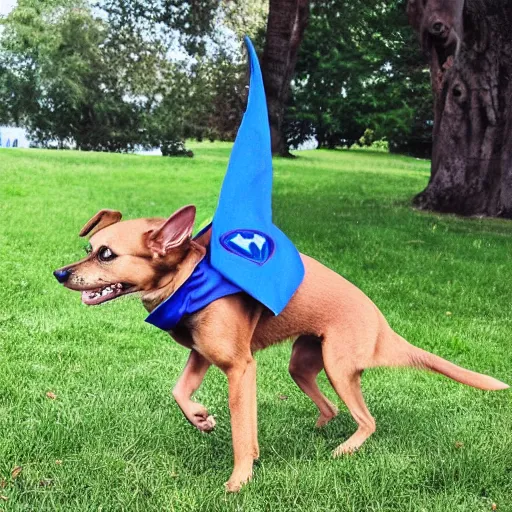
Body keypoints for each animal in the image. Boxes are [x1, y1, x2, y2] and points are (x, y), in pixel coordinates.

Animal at [54, 204, 510, 492]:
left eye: (106, 254)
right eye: (88, 249)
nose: (60, 273)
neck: (190, 279)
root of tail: (382, 325)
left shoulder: (240, 368)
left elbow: (243, 434)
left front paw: (239, 480)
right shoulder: (201, 354)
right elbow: (179, 391)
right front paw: (201, 418)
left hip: (338, 367)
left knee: (367, 420)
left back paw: (344, 449)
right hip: (303, 363)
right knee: (332, 408)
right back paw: (320, 428)